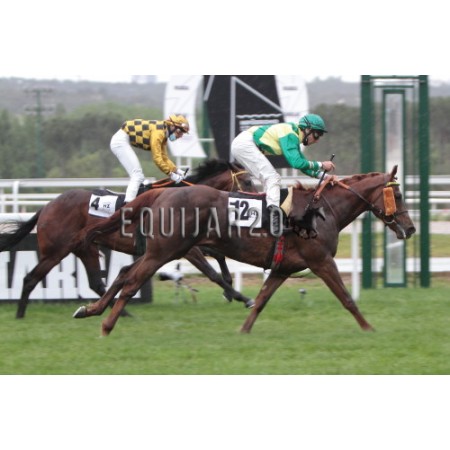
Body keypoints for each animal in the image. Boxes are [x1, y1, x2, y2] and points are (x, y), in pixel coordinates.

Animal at [0, 159, 256, 318]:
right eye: (248, 181)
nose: (256, 201)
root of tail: (46, 207)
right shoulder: (186, 248)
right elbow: (212, 272)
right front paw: (242, 297)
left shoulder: (190, 243)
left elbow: (219, 256)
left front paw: (230, 290)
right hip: (55, 251)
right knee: (30, 278)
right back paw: (20, 315)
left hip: (85, 249)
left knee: (95, 282)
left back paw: (122, 312)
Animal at [75, 165, 416, 336]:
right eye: (398, 194)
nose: (410, 228)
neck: (324, 210)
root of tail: (161, 195)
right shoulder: (321, 261)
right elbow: (346, 298)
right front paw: (369, 328)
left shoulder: (283, 268)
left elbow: (262, 300)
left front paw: (243, 330)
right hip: (166, 251)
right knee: (131, 281)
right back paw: (106, 325)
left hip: (164, 250)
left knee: (123, 274)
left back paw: (89, 310)